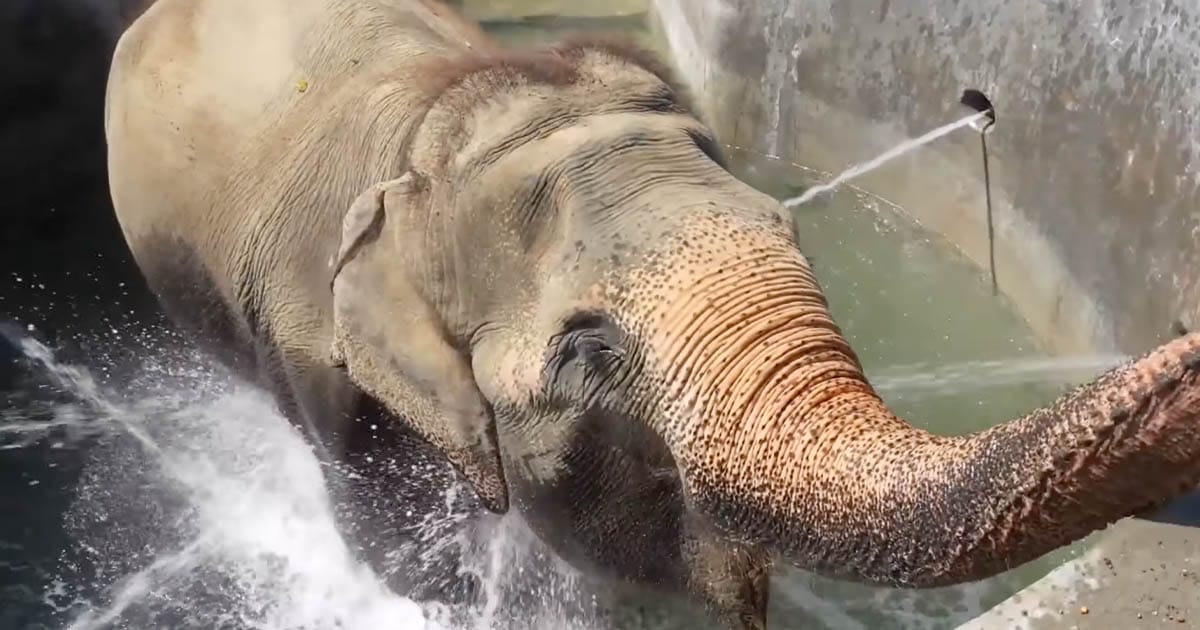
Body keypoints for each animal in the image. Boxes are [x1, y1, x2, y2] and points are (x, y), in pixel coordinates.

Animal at [104, 0, 1200, 628]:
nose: (1181, 340)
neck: (447, 116)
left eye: (792, 236)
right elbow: (402, 540)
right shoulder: (318, 361)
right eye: (586, 346)